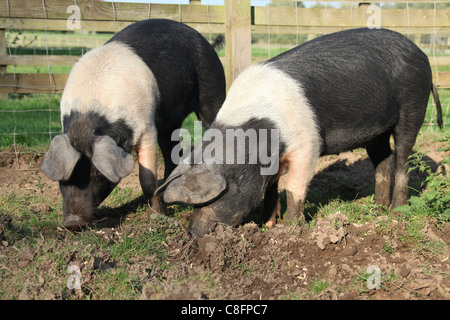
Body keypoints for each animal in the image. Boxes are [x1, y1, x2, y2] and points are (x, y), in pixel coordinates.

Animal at [39, 19, 225, 230]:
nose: (72, 223)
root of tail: (206, 41)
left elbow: (147, 178)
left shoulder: (147, 127)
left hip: (212, 87)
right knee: (171, 152)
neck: (89, 116)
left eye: (96, 174)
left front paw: (157, 217)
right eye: (65, 176)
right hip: (170, 120)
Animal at [157, 28, 442, 238]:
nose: (193, 234)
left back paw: (396, 212)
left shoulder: (308, 144)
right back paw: (377, 207)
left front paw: (289, 230)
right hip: (377, 131)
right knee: (384, 159)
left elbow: (294, 188)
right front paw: (267, 226)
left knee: (403, 158)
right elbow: (271, 188)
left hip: (414, 104)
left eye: (220, 196)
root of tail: (422, 54)